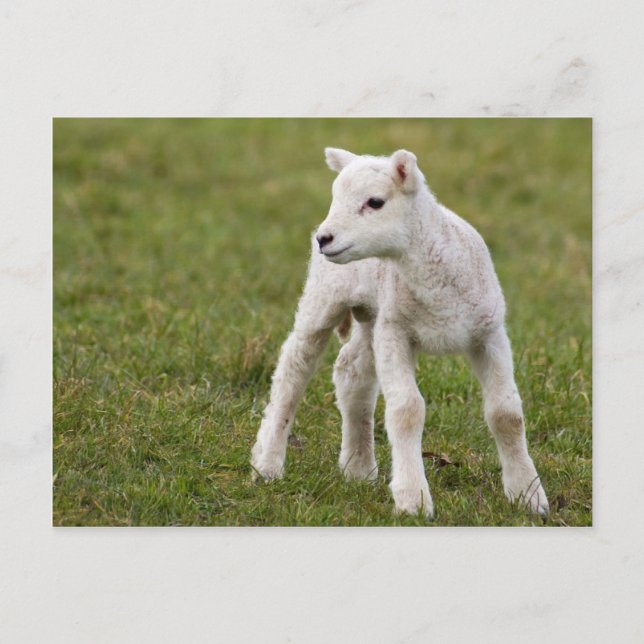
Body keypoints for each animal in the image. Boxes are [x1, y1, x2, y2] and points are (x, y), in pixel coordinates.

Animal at [250, 147, 549, 518]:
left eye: (375, 202)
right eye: (334, 198)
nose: (324, 238)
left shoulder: (489, 334)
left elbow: (506, 414)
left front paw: (528, 495)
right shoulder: (395, 332)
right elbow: (406, 410)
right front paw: (413, 500)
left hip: (373, 315)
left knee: (351, 372)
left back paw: (358, 468)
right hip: (326, 296)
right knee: (293, 369)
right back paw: (268, 464)